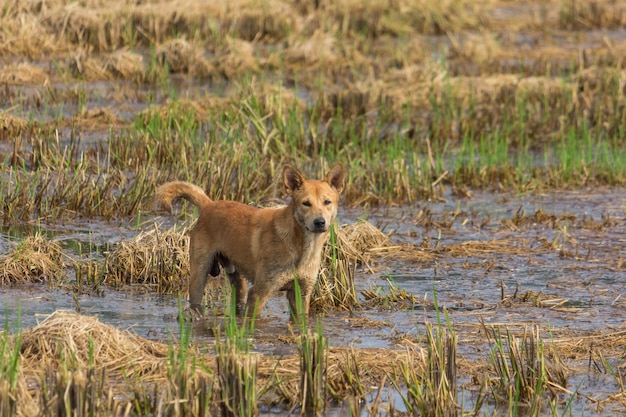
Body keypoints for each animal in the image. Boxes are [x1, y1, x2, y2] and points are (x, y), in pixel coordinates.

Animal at [154, 163, 344, 318]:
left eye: (327, 202)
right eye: (306, 203)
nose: (319, 222)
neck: (301, 246)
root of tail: (209, 205)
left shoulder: (302, 293)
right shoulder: (260, 291)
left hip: (237, 279)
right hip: (199, 275)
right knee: (195, 298)